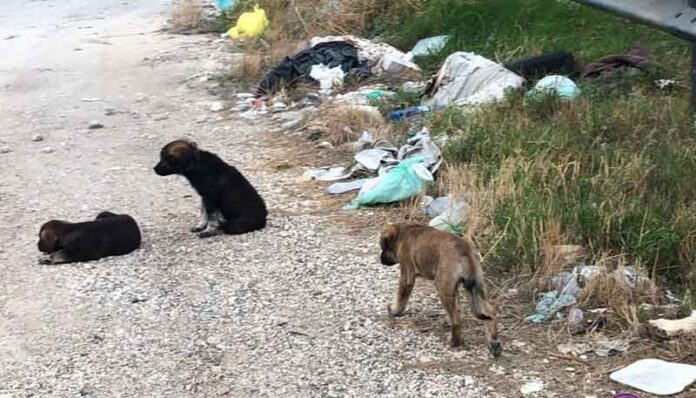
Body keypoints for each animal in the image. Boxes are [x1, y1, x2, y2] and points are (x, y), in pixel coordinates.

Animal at [380, 222, 500, 356]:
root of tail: (465, 253)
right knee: (488, 312)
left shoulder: (407, 275)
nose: (381, 259)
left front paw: (394, 310)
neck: (402, 233)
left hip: (443, 287)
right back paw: (494, 343)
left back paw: (454, 341)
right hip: (476, 288)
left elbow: (401, 296)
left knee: (456, 319)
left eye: (383, 247)